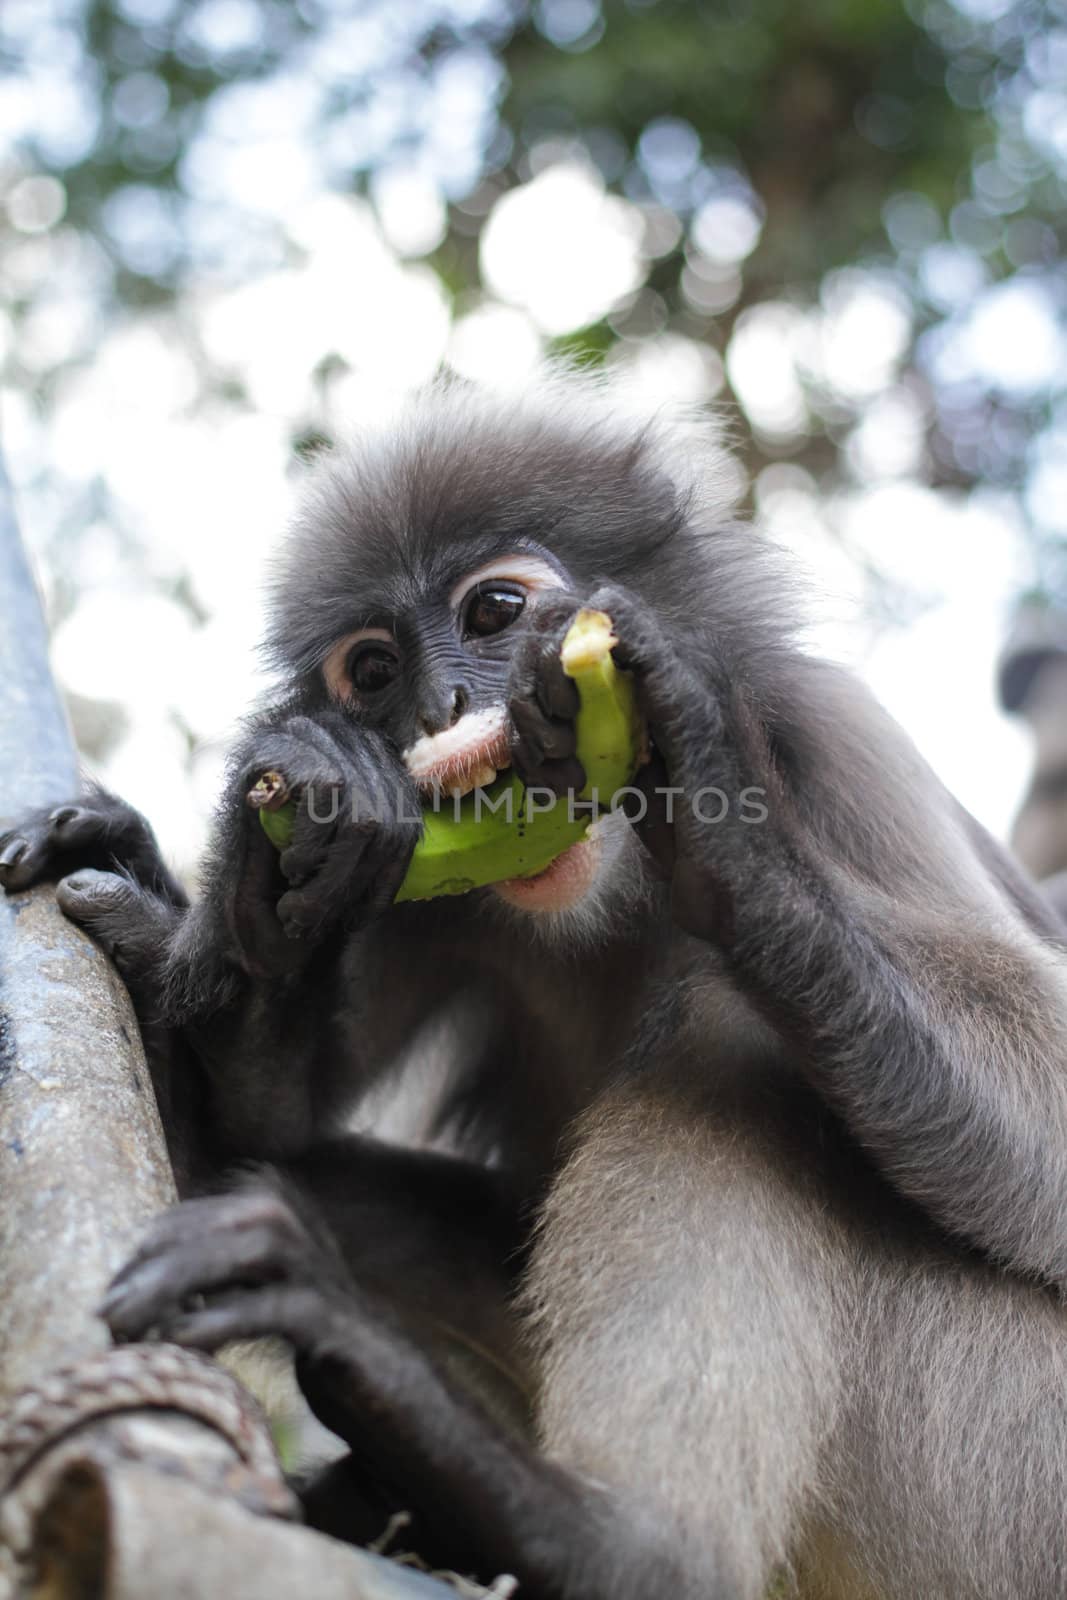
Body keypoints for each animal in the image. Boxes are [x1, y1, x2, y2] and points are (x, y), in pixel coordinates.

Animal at [6, 368, 1067, 1593]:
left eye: (494, 613)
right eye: (374, 670)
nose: (433, 711)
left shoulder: (837, 743)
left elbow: (1047, 1161)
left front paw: (706, 795)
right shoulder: (421, 874)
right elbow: (269, 1115)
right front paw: (268, 879)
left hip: (1003, 1470)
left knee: (727, 1029)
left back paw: (611, 1536)